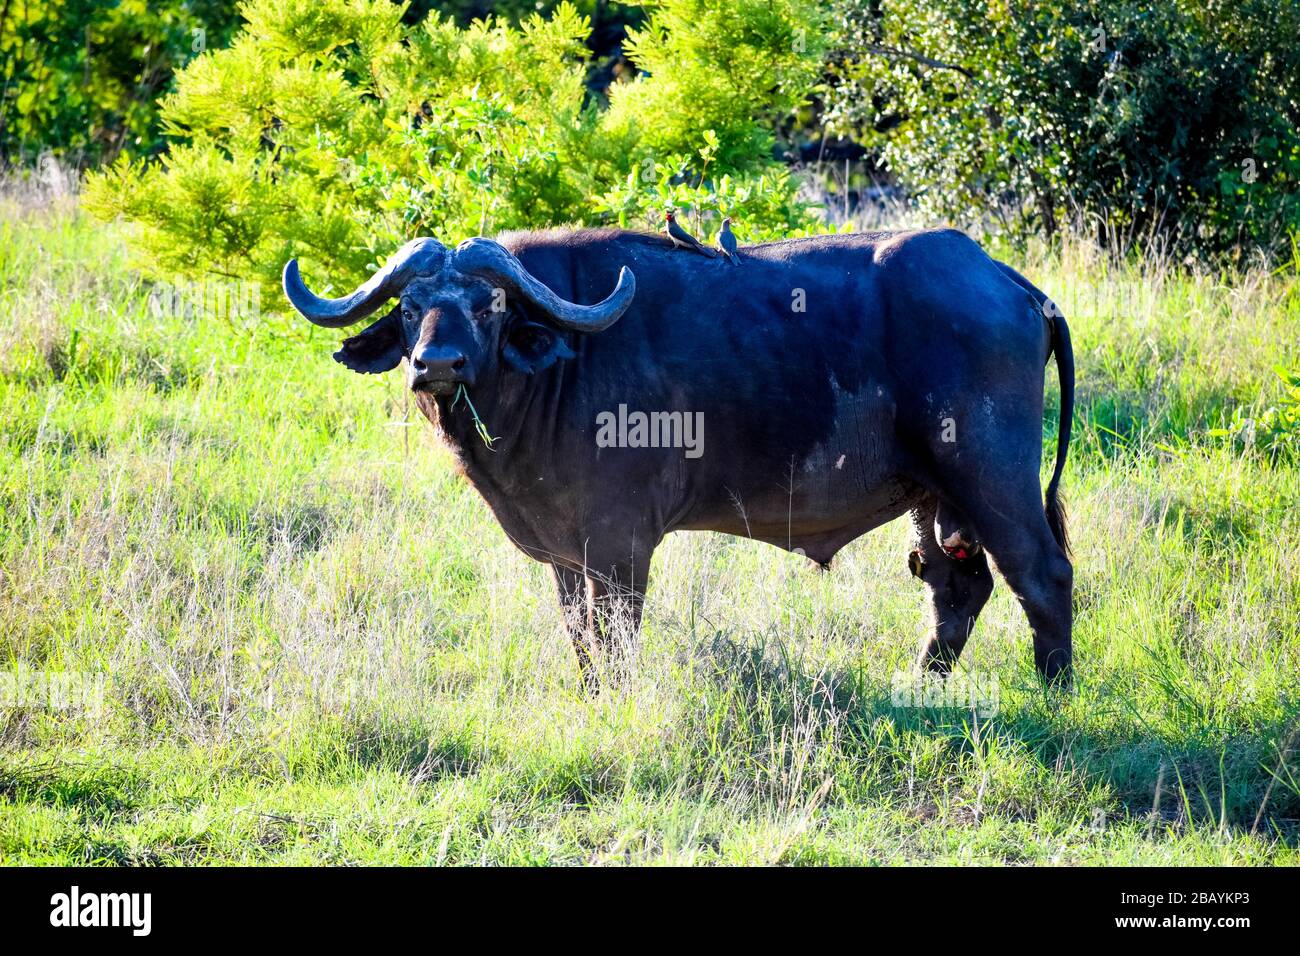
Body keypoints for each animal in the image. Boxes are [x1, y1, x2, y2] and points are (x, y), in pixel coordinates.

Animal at [284, 230, 1076, 697]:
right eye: (410, 306)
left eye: (490, 305)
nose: (436, 364)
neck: (555, 372)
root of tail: (1013, 283)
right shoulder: (565, 555)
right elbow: (580, 634)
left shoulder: (621, 546)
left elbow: (615, 633)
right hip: (932, 497)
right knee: (956, 585)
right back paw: (921, 682)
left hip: (992, 478)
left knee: (1042, 574)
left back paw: (1055, 687)